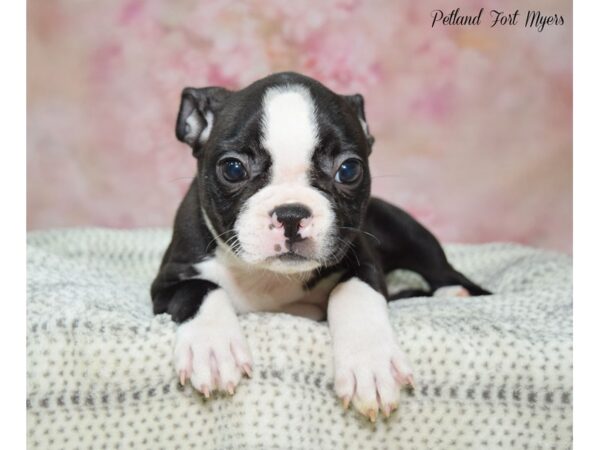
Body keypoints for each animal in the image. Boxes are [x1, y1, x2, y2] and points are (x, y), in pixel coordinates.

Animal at [149, 71, 488, 422]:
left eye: (348, 170)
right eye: (233, 169)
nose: (291, 214)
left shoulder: (364, 262)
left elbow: (351, 292)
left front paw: (370, 364)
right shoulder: (167, 281)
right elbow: (200, 288)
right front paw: (212, 346)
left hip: (411, 234)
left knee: (446, 272)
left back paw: (455, 292)